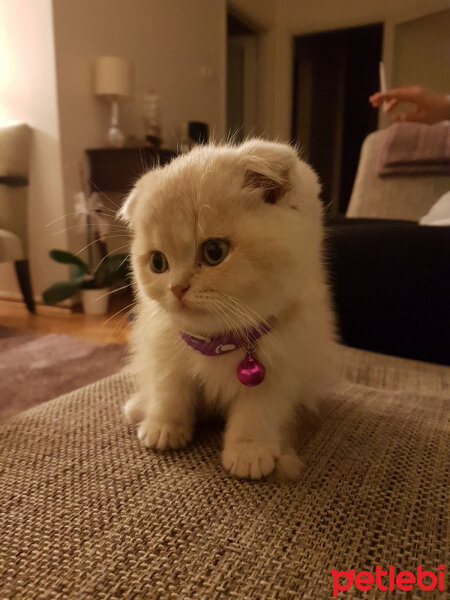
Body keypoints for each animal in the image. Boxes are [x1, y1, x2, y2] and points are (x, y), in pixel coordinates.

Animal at [119, 138, 338, 480]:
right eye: (158, 262)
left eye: (214, 251)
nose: (176, 288)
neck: (218, 341)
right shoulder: (164, 349)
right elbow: (169, 391)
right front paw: (164, 426)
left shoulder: (281, 367)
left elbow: (258, 411)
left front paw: (249, 450)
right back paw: (140, 406)